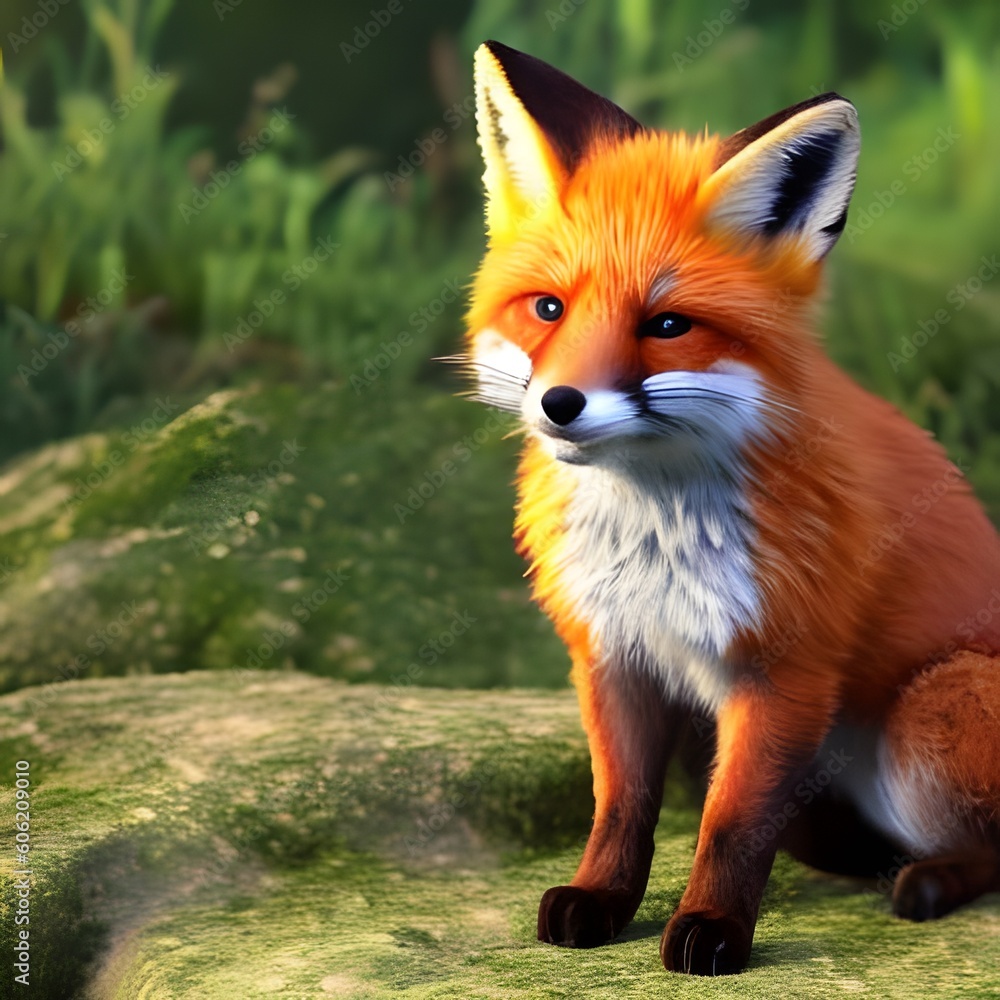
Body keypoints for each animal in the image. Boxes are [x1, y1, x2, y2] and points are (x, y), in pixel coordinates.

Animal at [456, 40, 1000, 976]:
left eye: (666, 325)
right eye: (549, 309)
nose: (559, 403)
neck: (652, 540)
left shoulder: (783, 671)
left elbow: (731, 824)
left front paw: (712, 927)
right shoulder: (614, 655)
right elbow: (621, 806)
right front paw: (602, 900)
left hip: (926, 721)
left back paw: (925, 883)